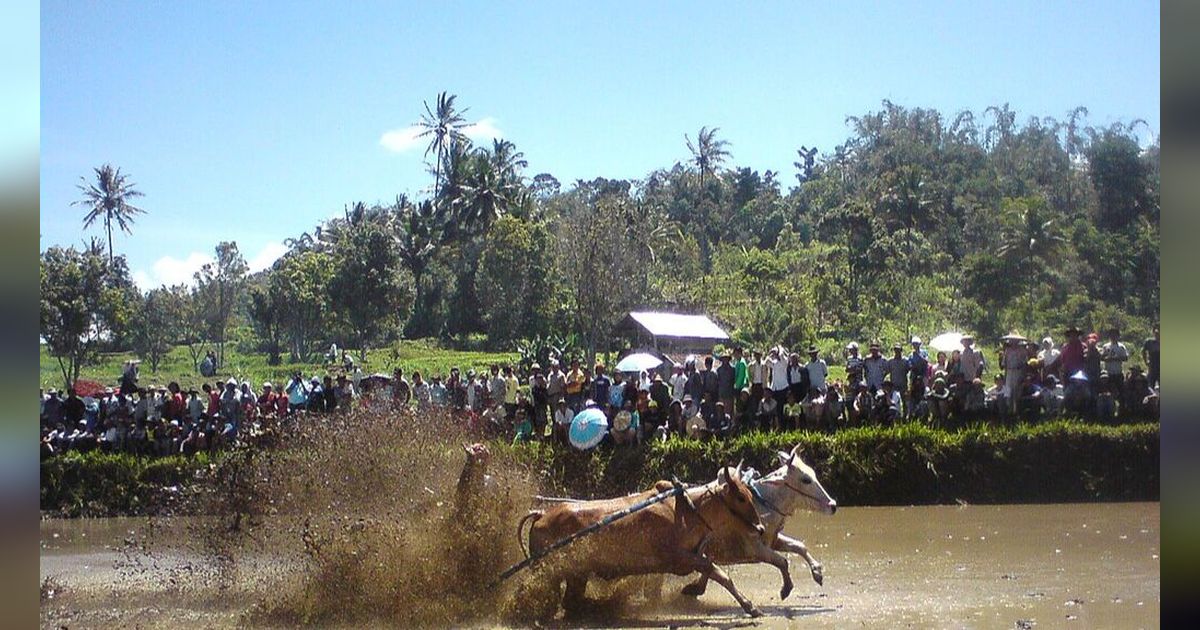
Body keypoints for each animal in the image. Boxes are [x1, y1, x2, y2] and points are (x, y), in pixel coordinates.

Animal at [518, 463, 763, 614]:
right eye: (741, 497)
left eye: (750, 494)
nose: (760, 528)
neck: (687, 509)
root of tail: (542, 514)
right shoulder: (679, 557)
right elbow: (717, 573)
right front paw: (749, 606)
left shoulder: (694, 555)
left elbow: (716, 572)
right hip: (551, 571)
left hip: (575, 575)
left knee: (570, 600)